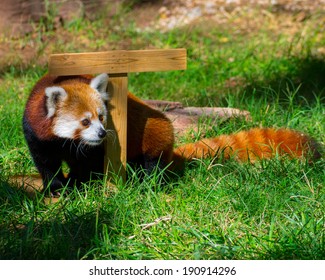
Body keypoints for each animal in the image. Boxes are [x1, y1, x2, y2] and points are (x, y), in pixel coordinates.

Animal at [23, 73, 322, 194]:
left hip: (155, 135)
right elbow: (46, 162)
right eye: (85, 121)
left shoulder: (95, 149)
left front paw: (79, 183)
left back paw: (146, 182)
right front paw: (56, 188)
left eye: (101, 117)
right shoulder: (38, 136)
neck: (68, 143)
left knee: (151, 162)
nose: (102, 134)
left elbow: (89, 163)